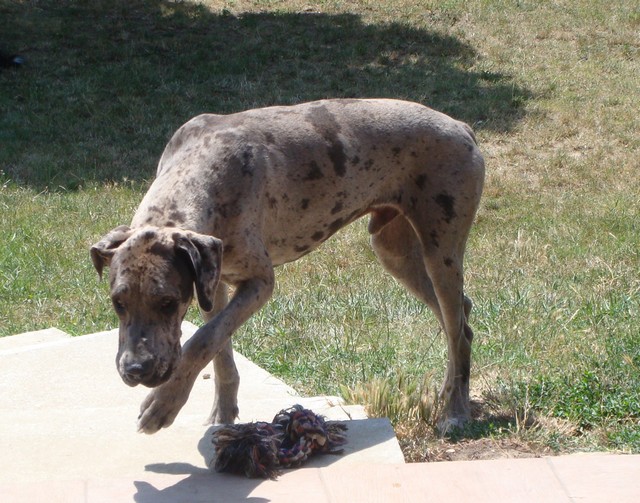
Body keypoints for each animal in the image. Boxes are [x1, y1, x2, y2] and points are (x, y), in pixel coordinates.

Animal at [91, 98, 484, 434]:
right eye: (118, 303)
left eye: (168, 303)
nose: (136, 370)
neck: (200, 166)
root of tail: (461, 126)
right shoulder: (213, 285)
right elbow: (219, 351)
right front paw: (222, 414)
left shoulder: (259, 282)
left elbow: (203, 340)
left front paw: (163, 404)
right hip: (394, 251)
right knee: (459, 316)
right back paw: (449, 394)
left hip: (440, 252)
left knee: (458, 331)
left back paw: (455, 413)